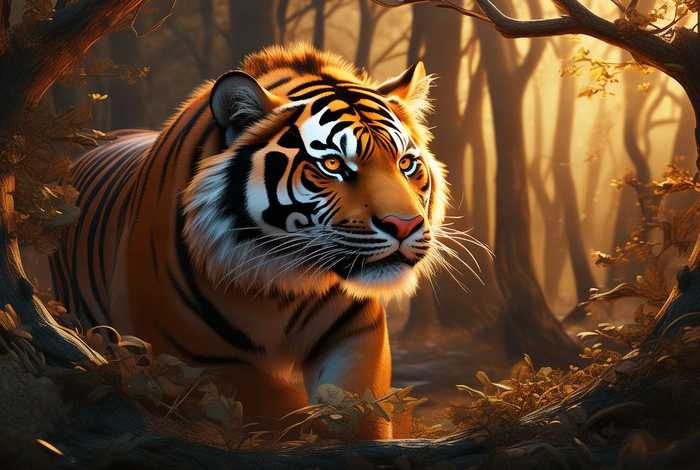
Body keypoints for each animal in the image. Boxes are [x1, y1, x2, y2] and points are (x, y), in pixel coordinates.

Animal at [50, 44, 448, 439]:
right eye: (333, 164)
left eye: (406, 164)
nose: (404, 224)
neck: (283, 285)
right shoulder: (193, 361)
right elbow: (278, 412)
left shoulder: (357, 335)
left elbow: (358, 410)